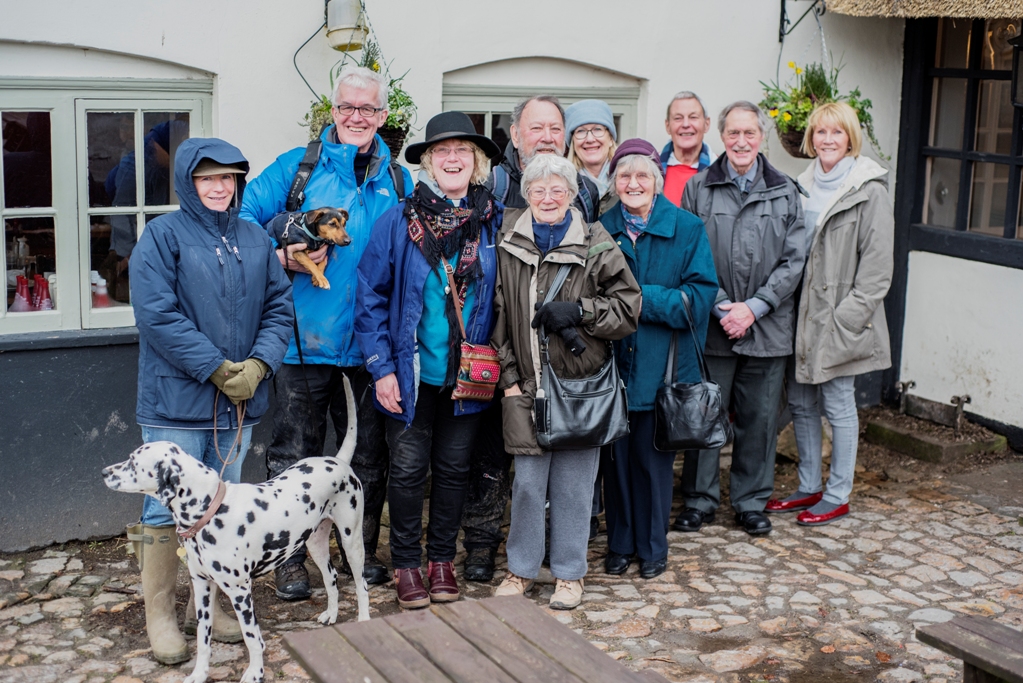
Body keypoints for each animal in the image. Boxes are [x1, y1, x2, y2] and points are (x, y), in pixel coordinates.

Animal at [99, 376, 370, 683]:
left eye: (134, 462)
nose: (104, 472)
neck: (210, 510)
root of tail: (339, 460)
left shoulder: (241, 591)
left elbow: (252, 637)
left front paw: (254, 673)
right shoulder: (203, 587)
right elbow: (203, 639)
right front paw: (199, 674)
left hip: (352, 542)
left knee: (361, 585)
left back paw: (363, 621)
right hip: (315, 544)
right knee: (331, 577)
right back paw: (332, 614)